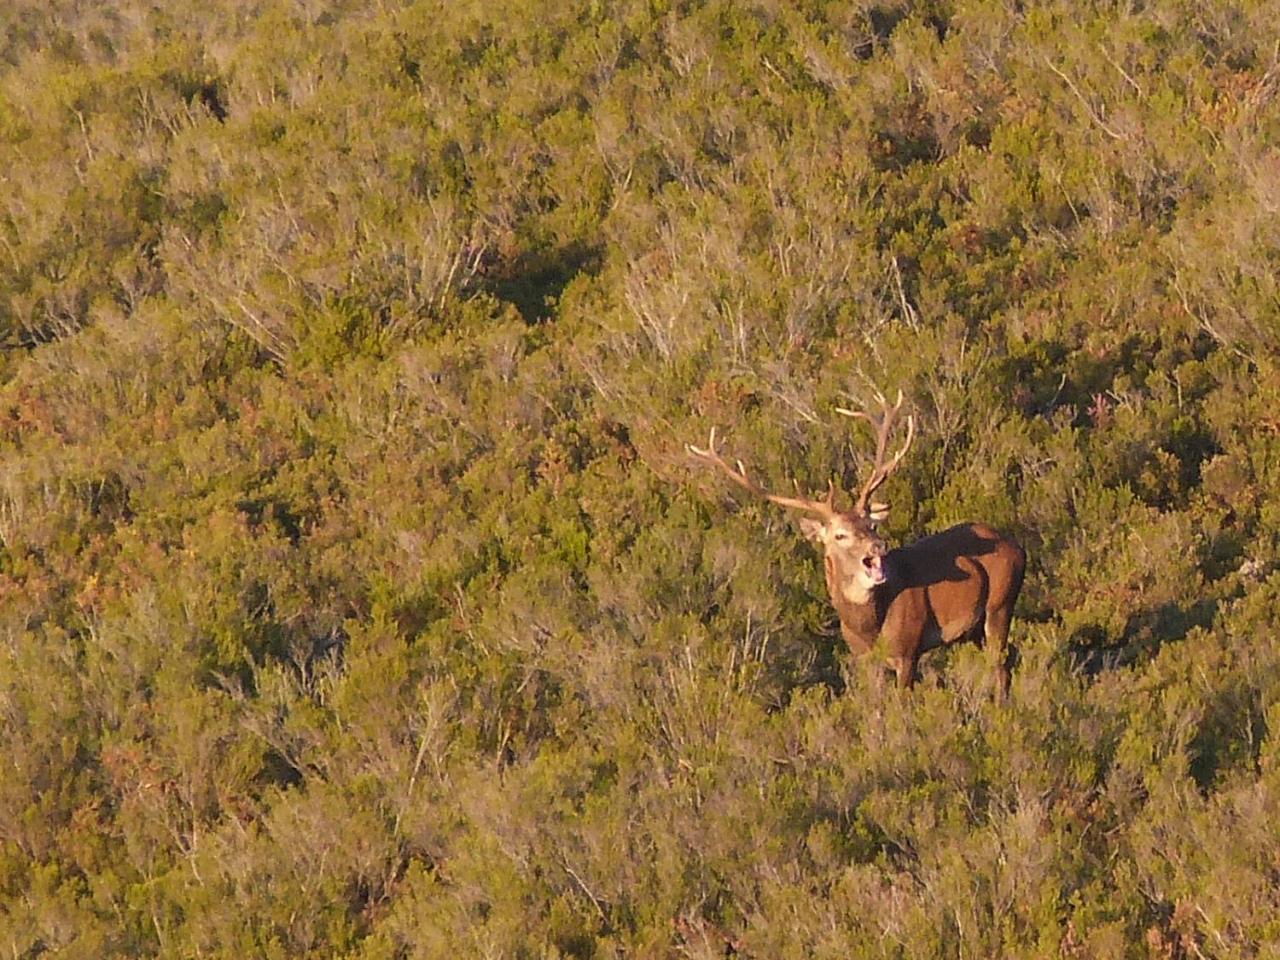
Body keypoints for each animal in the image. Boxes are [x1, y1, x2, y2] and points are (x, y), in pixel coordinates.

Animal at [686, 391, 1024, 706]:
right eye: (840, 535)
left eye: (871, 525)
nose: (879, 545)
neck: (869, 626)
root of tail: (1018, 547)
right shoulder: (863, 658)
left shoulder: (908, 648)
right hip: (975, 628)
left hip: (1001, 603)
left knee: (1002, 664)